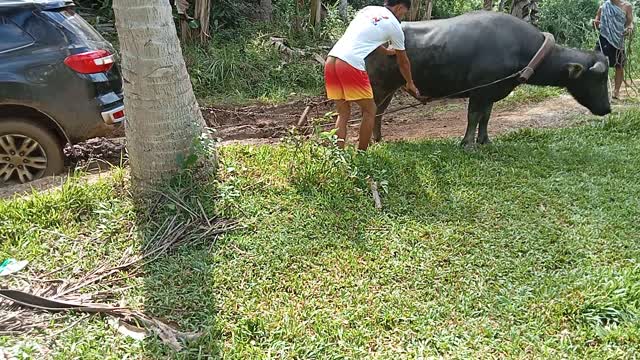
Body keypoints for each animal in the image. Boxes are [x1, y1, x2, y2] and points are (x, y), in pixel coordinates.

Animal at [364, 10, 608, 145]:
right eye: (597, 79)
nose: (607, 109)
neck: (522, 50)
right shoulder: (479, 91)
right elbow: (473, 117)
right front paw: (468, 144)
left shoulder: (491, 93)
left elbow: (486, 117)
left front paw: (484, 141)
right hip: (377, 85)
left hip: (390, 87)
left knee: (379, 112)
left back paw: (378, 139)